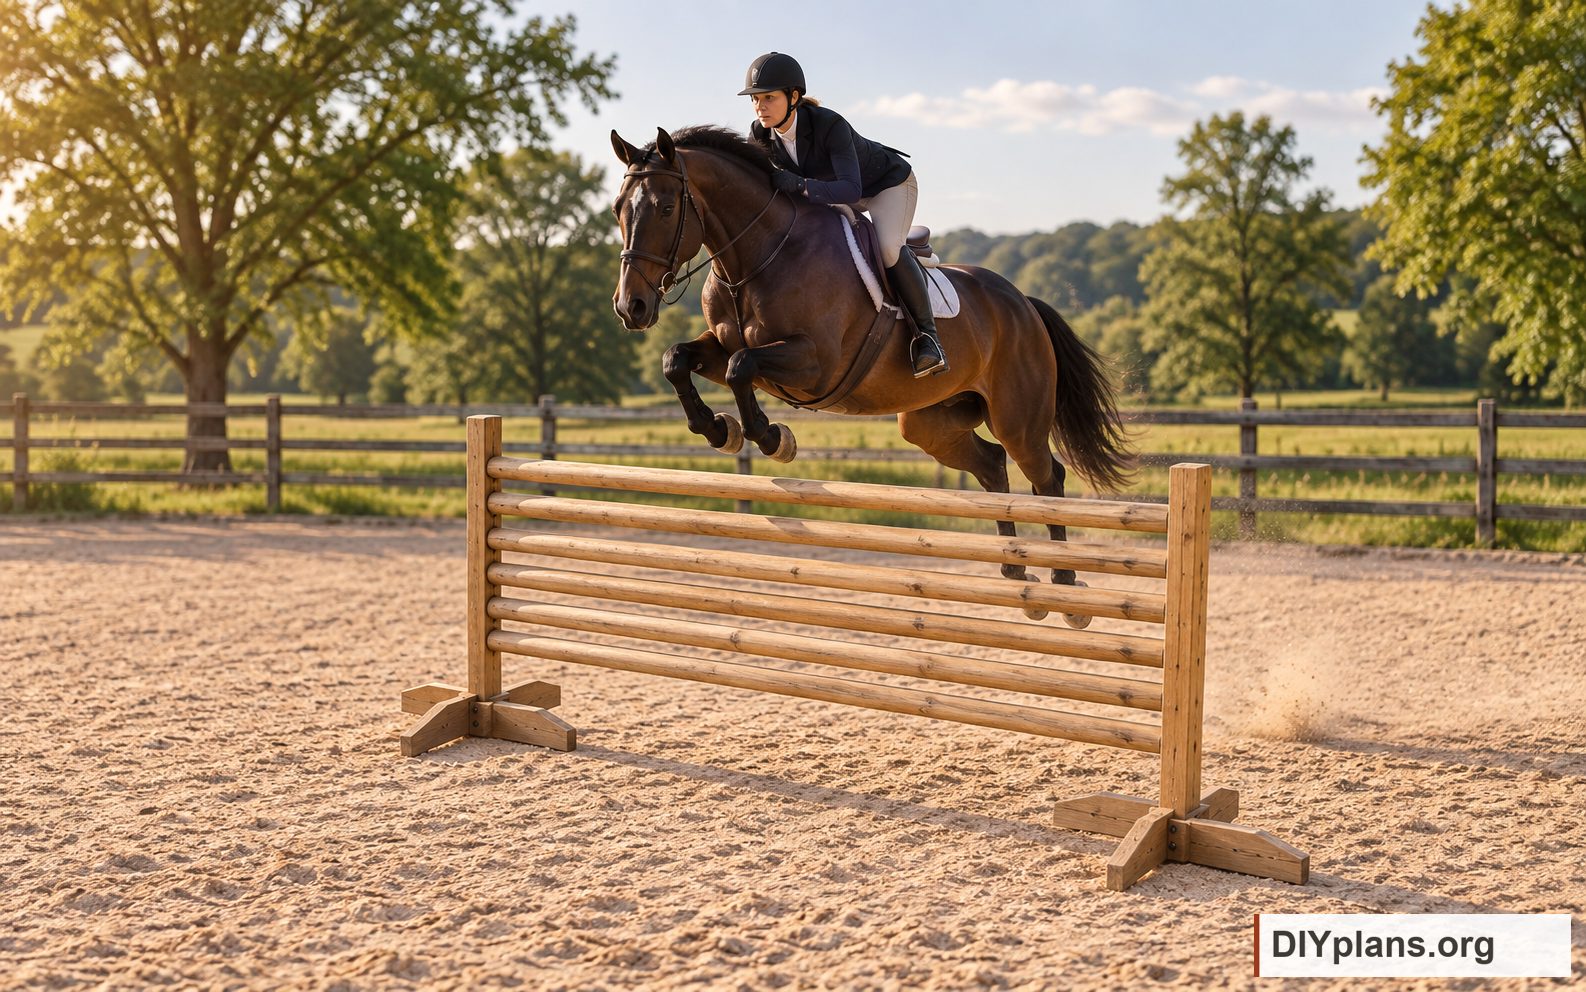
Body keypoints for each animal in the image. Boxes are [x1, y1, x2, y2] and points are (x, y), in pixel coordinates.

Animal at [609, 125, 1133, 628]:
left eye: (666, 207)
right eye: (618, 210)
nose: (630, 307)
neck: (758, 255)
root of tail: (1023, 302)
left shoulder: (815, 363)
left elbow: (743, 368)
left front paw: (772, 438)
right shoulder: (722, 347)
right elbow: (677, 359)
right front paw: (721, 430)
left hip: (1017, 417)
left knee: (1047, 479)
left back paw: (1064, 589)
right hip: (931, 423)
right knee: (991, 466)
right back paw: (1016, 572)